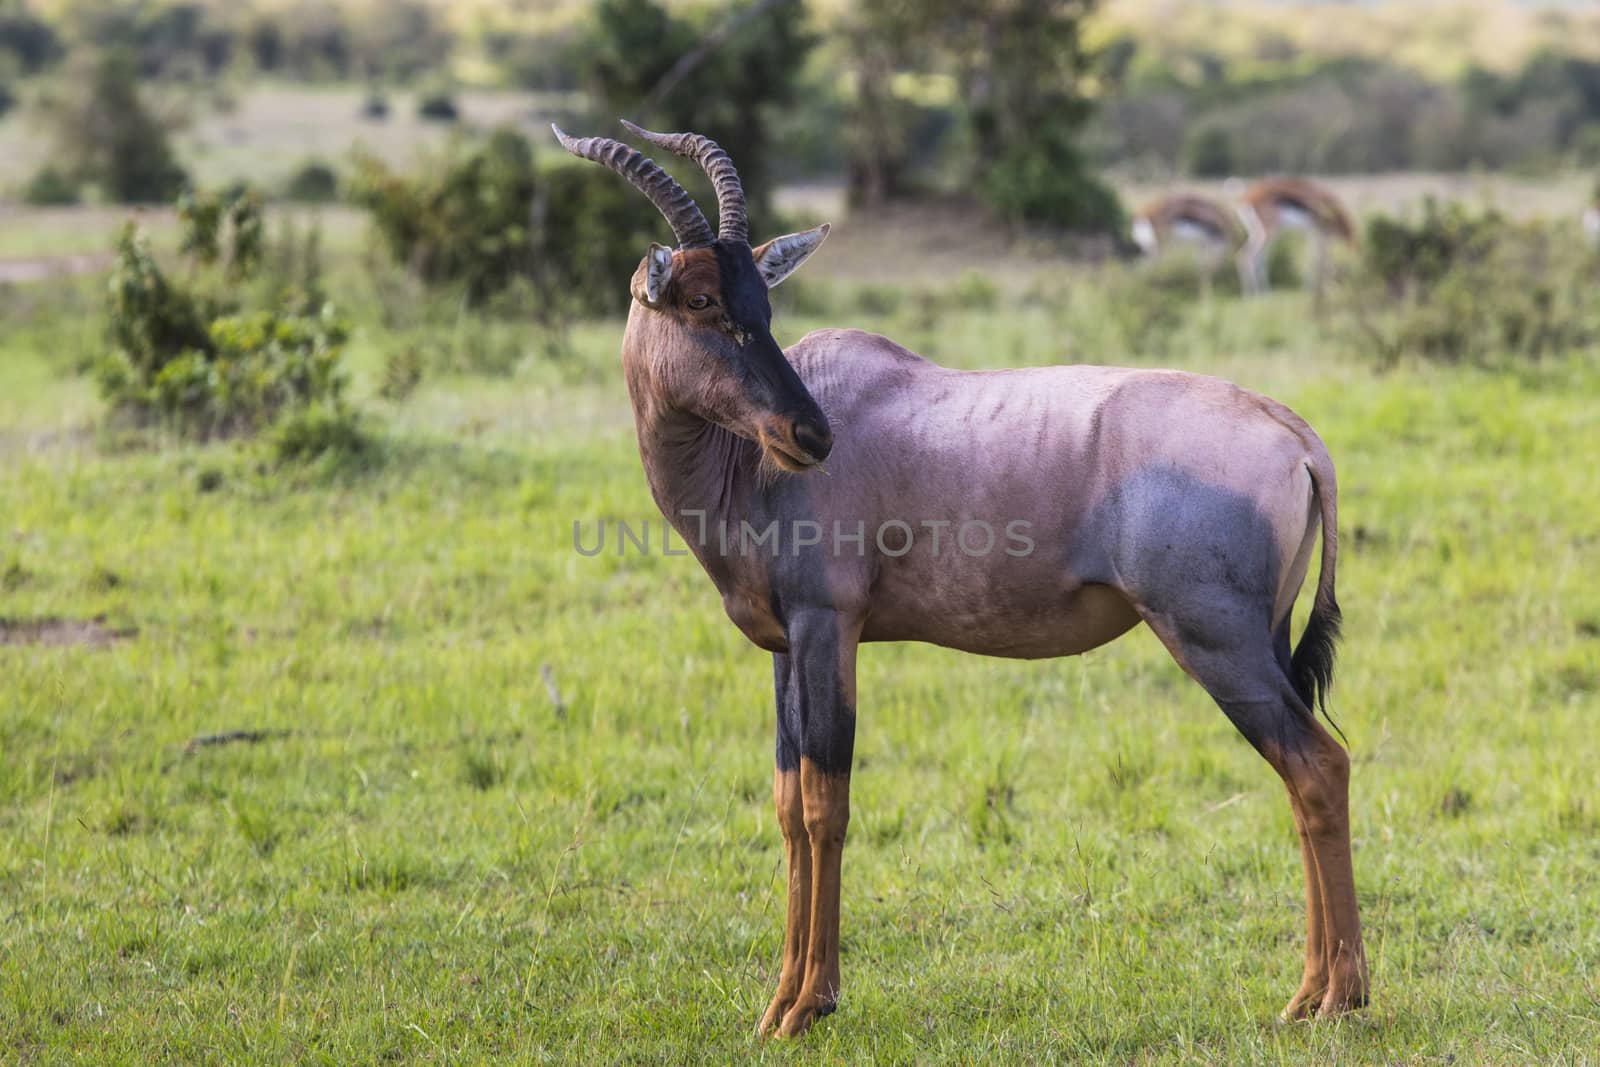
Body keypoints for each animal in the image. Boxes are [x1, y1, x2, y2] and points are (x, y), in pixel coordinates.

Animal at [1228, 177, 1356, 295]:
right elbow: (1317, 258)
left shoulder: (1319, 235)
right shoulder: (1318, 233)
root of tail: (1245, 197)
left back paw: (1264, 292)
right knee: (1247, 256)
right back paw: (1254, 294)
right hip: (1269, 232)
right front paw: (1311, 288)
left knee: (1259, 257)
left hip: (1263, 233)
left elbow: (1321, 258)